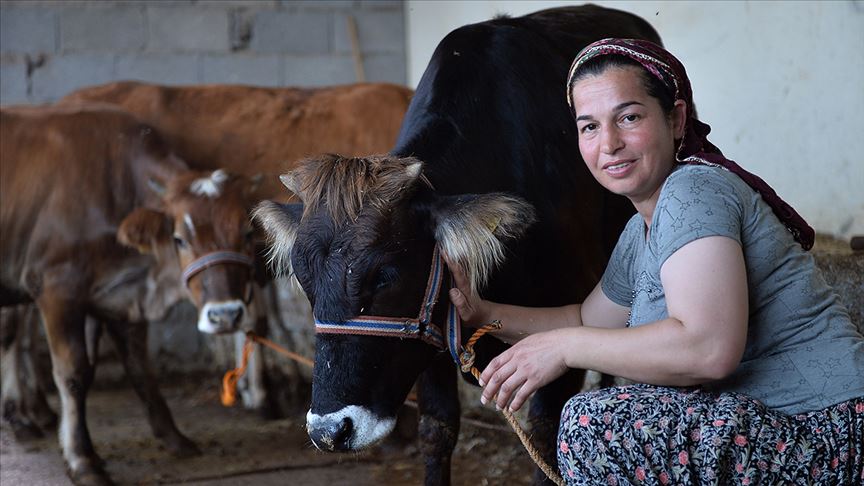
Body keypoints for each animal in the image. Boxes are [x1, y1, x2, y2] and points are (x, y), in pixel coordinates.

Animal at [0, 103, 260, 486]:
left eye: (246, 233)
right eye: (179, 238)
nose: (226, 314)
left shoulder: (120, 298)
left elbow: (139, 368)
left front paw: (173, 437)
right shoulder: (55, 288)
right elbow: (72, 374)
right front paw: (82, 459)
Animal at [256, 5, 660, 484]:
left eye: (385, 276)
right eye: (305, 280)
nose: (329, 431)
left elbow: (546, 436)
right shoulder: (431, 333)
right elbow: (438, 429)